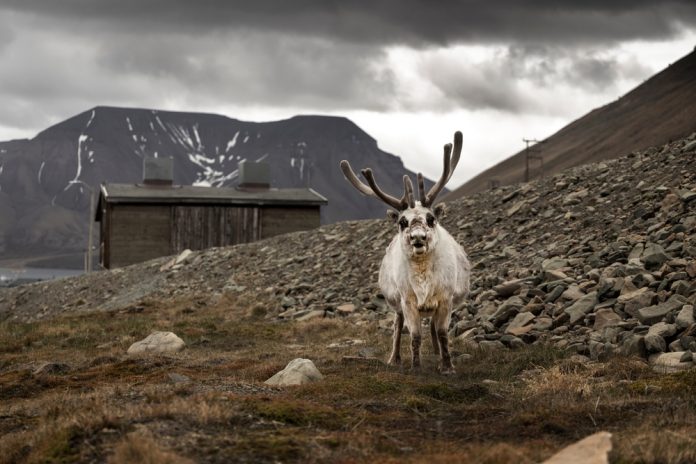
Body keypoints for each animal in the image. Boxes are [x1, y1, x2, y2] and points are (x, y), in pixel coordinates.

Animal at [340, 131, 470, 374]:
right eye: (402, 222)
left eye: (431, 219)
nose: (418, 238)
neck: (422, 276)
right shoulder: (408, 301)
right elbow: (415, 335)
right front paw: (416, 367)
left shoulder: (445, 299)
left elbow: (442, 333)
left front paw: (447, 366)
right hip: (396, 304)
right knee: (397, 327)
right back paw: (395, 358)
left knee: (433, 328)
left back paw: (437, 354)